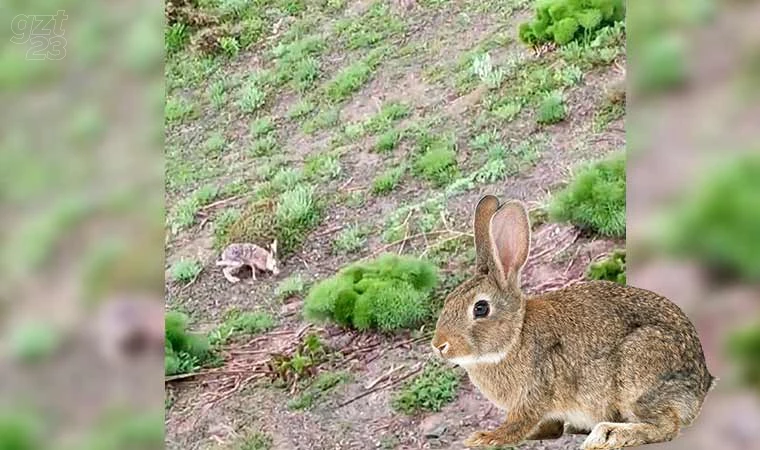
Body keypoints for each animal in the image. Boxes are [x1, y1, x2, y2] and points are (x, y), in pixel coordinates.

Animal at [430, 196, 716, 450]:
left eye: (480, 308)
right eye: (448, 301)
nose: (439, 345)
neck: (515, 337)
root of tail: (702, 384)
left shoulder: (535, 391)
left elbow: (519, 423)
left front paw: (485, 438)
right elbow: (549, 428)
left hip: (638, 373)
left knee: (666, 427)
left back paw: (608, 435)